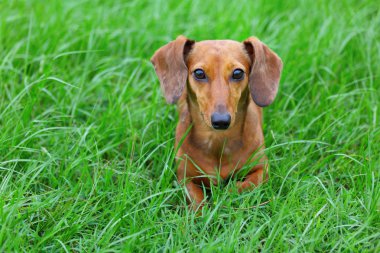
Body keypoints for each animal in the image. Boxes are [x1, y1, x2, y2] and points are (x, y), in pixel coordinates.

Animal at [151, 35, 282, 210]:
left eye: (238, 73)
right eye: (199, 73)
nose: (221, 121)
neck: (217, 141)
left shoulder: (262, 169)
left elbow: (243, 186)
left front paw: (225, 197)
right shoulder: (185, 178)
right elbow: (197, 200)